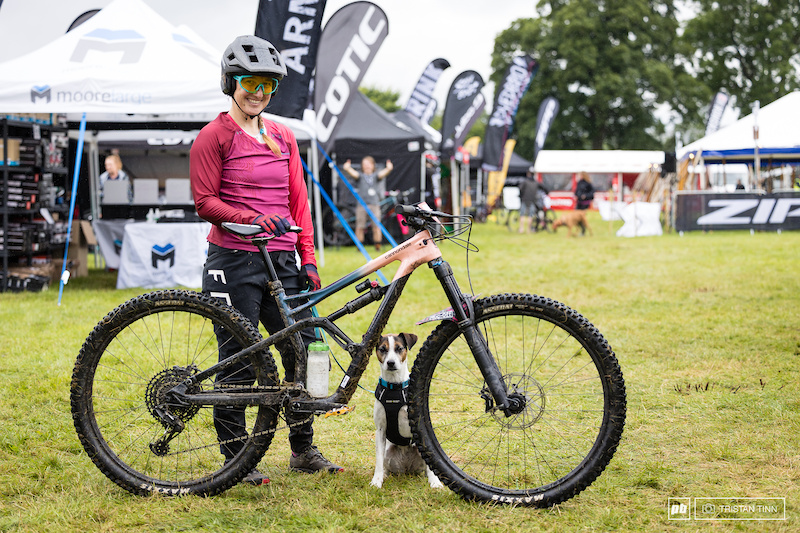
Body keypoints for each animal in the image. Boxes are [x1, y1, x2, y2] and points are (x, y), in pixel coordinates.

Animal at [370, 334, 444, 488]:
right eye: (382, 349)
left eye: (399, 348)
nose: (391, 363)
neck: (394, 387)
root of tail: (407, 468)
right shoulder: (380, 430)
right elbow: (378, 460)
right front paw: (376, 481)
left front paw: (435, 482)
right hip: (388, 451)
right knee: (384, 464)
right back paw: (384, 474)